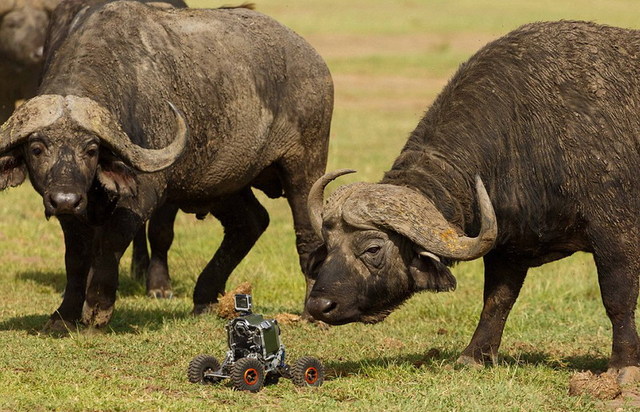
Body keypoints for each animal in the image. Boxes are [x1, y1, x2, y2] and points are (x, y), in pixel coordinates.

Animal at [0, 0, 330, 328]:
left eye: (91, 149)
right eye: (37, 148)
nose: (65, 199)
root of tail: (313, 59)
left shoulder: (142, 197)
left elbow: (109, 244)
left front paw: (97, 312)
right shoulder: (70, 211)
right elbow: (76, 257)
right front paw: (64, 315)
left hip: (305, 167)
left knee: (308, 236)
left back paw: (312, 315)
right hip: (220, 182)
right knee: (250, 222)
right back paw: (204, 298)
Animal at [304, 20, 640, 384]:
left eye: (373, 248)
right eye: (329, 246)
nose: (319, 306)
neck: (528, 134)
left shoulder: (616, 236)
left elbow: (617, 299)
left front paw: (623, 366)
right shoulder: (508, 247)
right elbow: (497, 299)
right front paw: (474, 355)